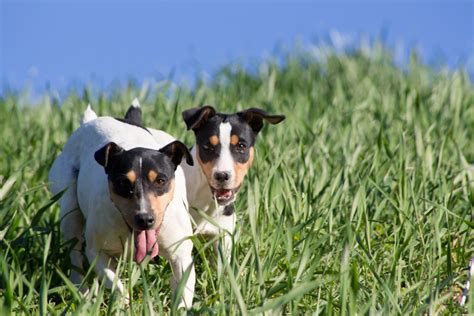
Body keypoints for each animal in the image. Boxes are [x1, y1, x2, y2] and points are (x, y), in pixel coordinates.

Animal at [47, 102, 195, 308]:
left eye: (160, 181)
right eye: (123, 183)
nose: (145, 219)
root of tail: (90, 121)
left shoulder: (181, 255)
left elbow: (183, 292)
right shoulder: (96, 252)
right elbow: (114, 283)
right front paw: (123, 304)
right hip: (69, 206)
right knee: (75, 251)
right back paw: (81, 292)